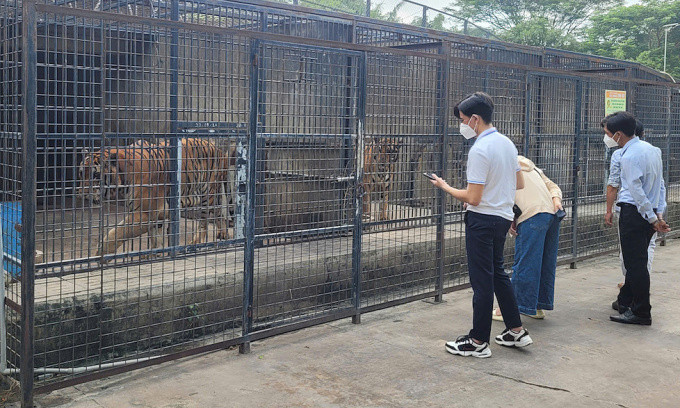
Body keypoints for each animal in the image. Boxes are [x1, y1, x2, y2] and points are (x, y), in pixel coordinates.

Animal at [78, 138, 234, 258]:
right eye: (80, 173)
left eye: (95, 175)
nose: (81, 193)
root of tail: (218, 149)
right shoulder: (155, 213)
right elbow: (155, 235)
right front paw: (153, 253)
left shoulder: (144, 214)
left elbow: (118, 232)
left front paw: (101, 254)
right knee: (220, 214)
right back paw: (223, 235)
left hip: (206, 195)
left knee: (204, 222)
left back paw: (196, 242)